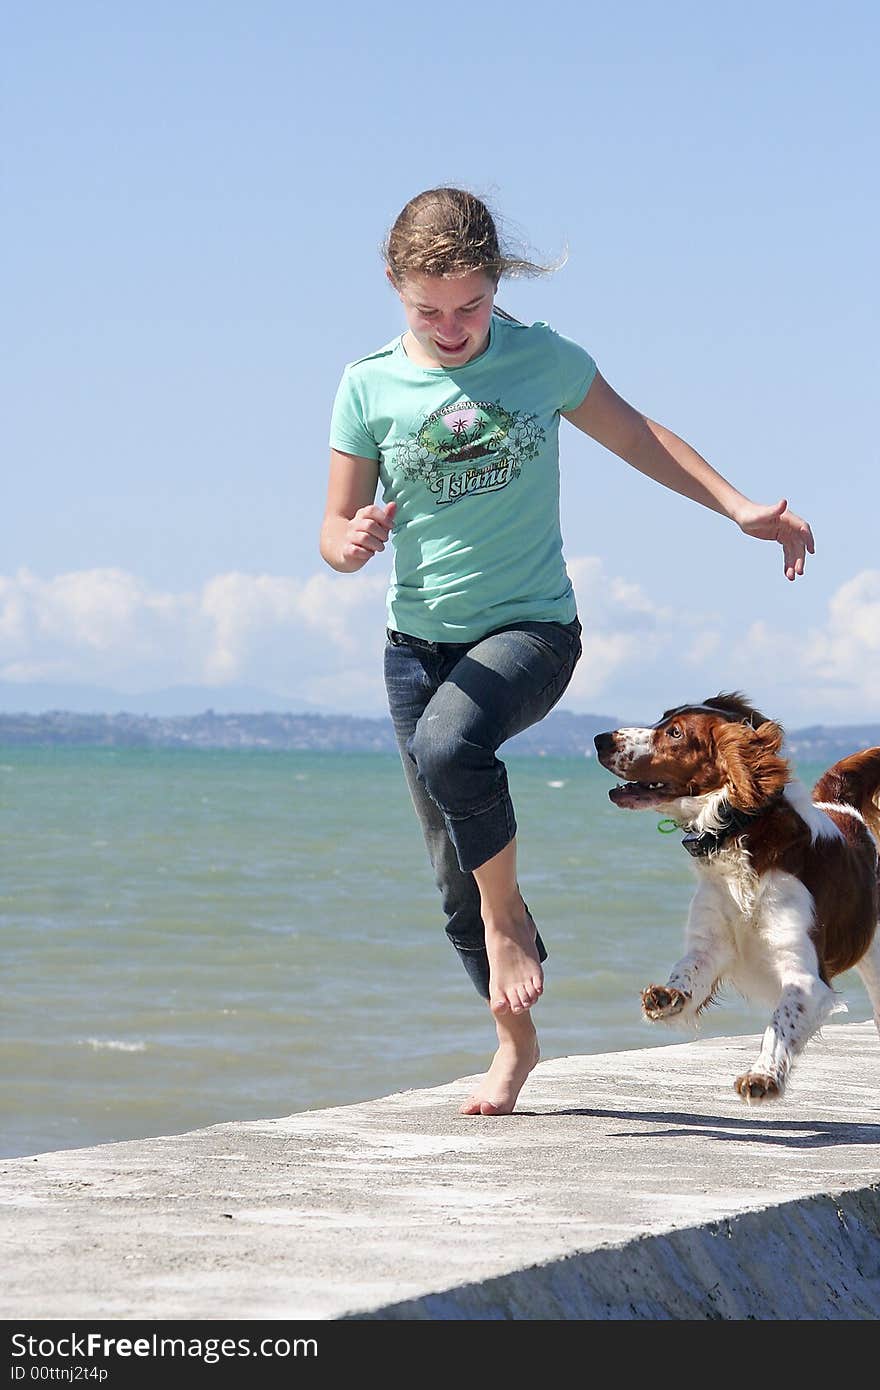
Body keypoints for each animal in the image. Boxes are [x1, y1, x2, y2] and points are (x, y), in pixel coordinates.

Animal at [589, 692, 878, 1095]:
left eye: (675, 733)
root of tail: (843, 808)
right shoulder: (710, 942)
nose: (600, 739)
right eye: (663, 718)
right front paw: (668, 997)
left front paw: (764, 1075)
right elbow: (688, 969)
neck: (738, 835)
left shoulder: (804, 972)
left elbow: (781, 1021)